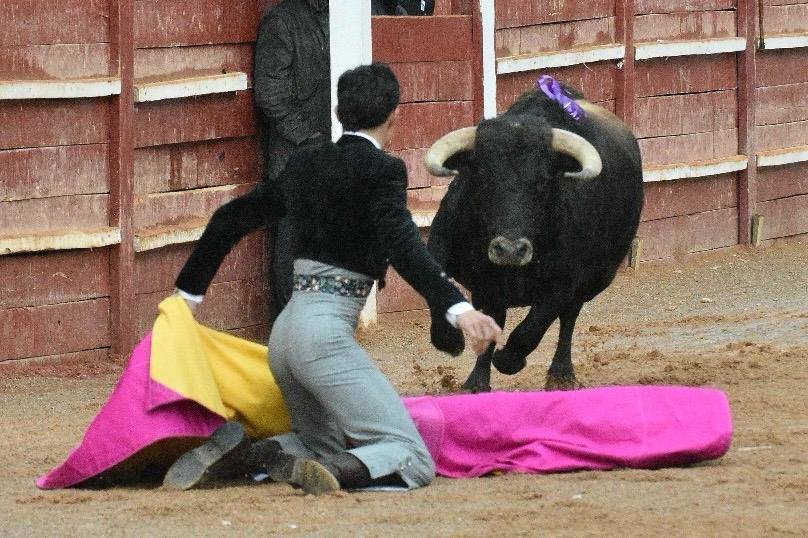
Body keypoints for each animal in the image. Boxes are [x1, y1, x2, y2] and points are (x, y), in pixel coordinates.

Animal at [426, 87, 640, 390]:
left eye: (543, 182)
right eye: (482, 179)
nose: (509, 250)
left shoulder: (564, 285)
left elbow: (531, 328)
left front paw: (509, 360)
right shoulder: (440, 249)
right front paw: (450, 341)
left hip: (597, 280)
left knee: (568, 318)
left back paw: (561, 373)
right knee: (496, 316)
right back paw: (476, 382)